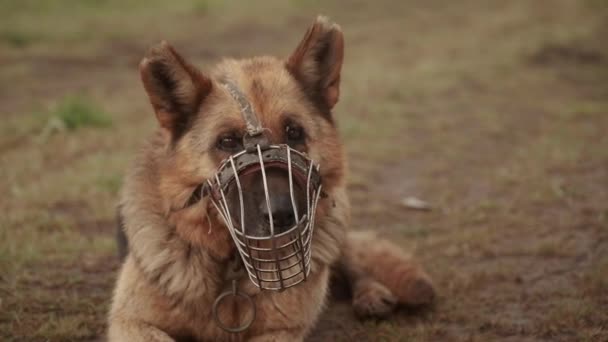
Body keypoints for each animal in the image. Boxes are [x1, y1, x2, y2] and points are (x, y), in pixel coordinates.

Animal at [108, 16, 432, 342]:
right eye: (228, 141)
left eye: (294, 132)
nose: (283, 215)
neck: (232, 270)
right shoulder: (130, 320)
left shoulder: (284, 330)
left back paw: (371, 293)